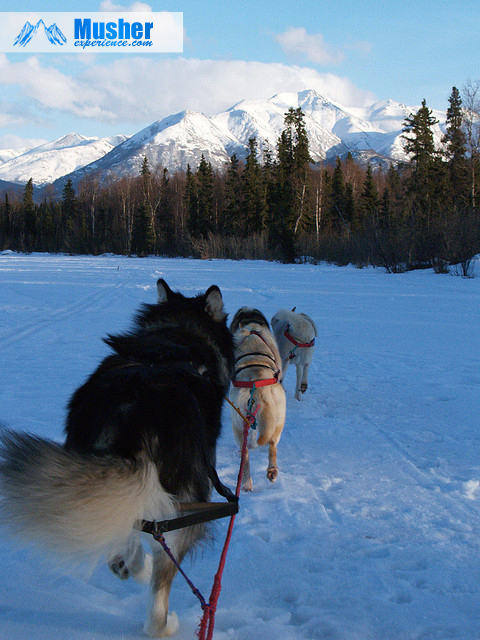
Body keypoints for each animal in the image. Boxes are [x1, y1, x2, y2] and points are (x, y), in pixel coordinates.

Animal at [0, 282, 234, 640]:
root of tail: (133, 410)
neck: (178, 338)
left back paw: (126, 565)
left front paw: (128, 564)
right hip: (187, 504)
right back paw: (162, 620)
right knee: (160, 586)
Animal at [229, 308, 284, 492]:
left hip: (238, 424)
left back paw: (247, 482)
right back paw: (270, 472)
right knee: (272, 445)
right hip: (277, 419)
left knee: (246, 454)